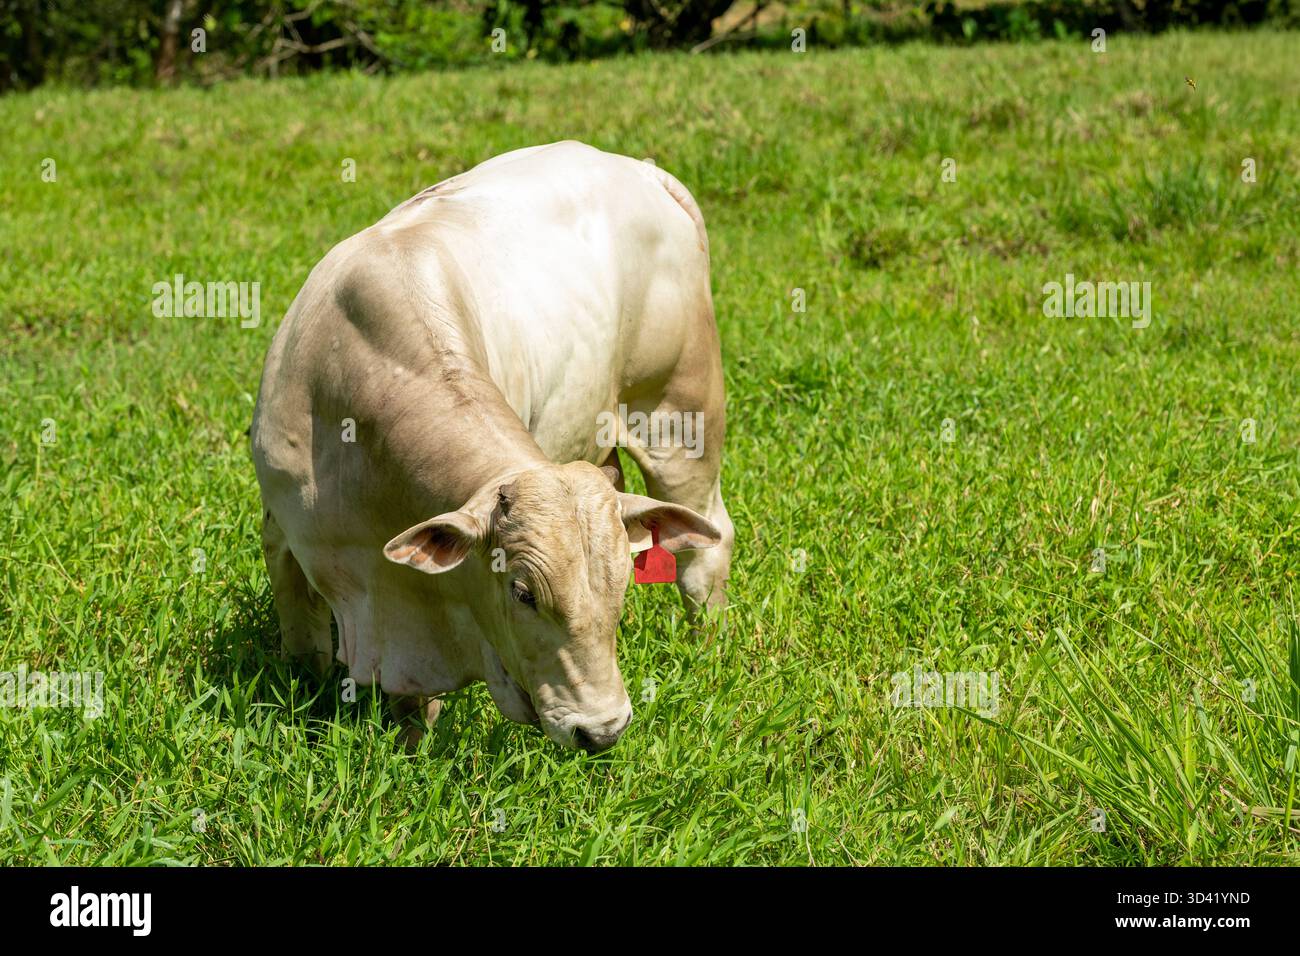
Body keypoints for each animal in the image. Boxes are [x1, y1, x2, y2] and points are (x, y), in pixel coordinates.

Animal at [250, 141, 733, 752]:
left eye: (621, 587)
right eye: (523, 593)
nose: (602, 730)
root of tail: (642, 171)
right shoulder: (282, 528)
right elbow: (303, 644)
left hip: (679, 413)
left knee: (706, 546)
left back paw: (708, 646)